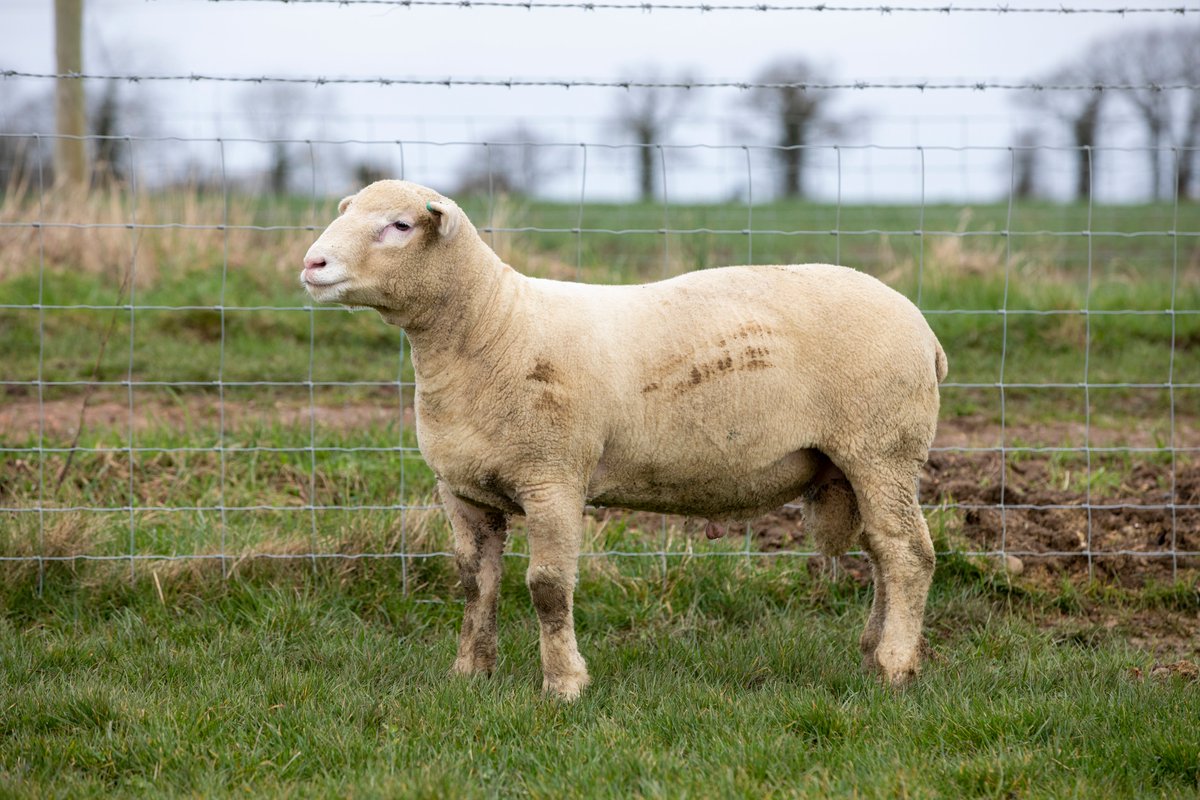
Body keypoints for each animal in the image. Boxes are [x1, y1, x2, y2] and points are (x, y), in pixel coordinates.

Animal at [301, 180, 948, 700]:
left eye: (400, 225)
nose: (312, 264)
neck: (493, 327)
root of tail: (923, 328)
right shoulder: (462, 490)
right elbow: (473, 583)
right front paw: (470, 674)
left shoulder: (554, 478)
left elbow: (547, 588)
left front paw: (564, 684)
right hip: (861, 459)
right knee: (882, 552)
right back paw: (876, 654)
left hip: (883, 445)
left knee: (907, 552)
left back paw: (895, 667)